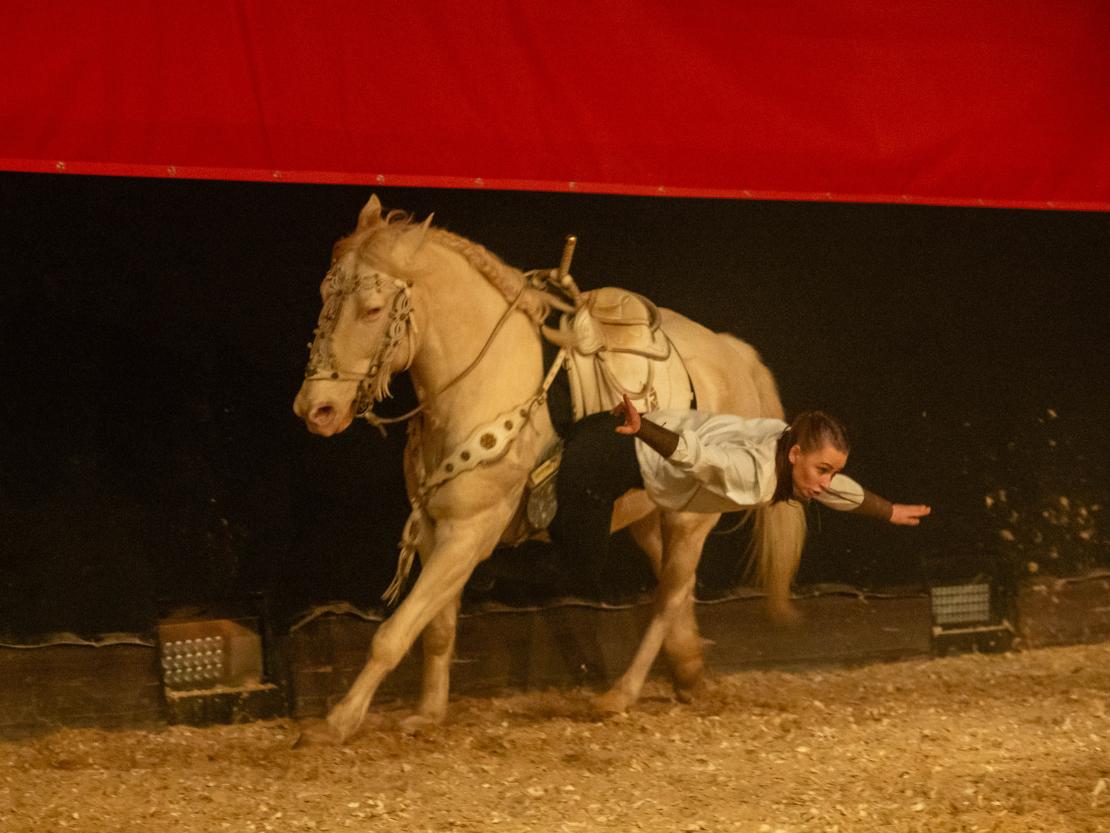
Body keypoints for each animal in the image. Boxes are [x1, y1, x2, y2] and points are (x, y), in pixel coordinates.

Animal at [292, 195, 805, 743]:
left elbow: (394, 632)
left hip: (691, 521)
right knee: (679, 591)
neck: (483, 381)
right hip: (648, 516)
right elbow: (435, 626)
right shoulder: (434, 530)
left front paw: (336, 723)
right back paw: (687, 675)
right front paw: (428, 713)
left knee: (669, 597)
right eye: (324, 297)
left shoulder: (471, 531)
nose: (316, 409)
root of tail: (730, 352)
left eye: (371, 309)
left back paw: (620, 695)